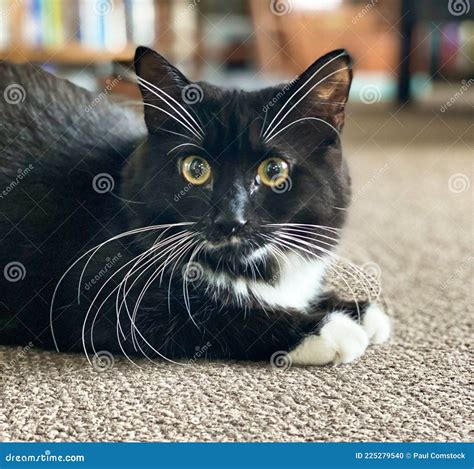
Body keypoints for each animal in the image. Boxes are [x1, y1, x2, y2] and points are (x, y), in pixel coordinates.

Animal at [0, 45, 388, 364]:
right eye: (195, 169)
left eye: (274, 170)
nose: (230, 219)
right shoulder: (99, 292)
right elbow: (210, 314)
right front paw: (328, 328)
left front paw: (358, 310)